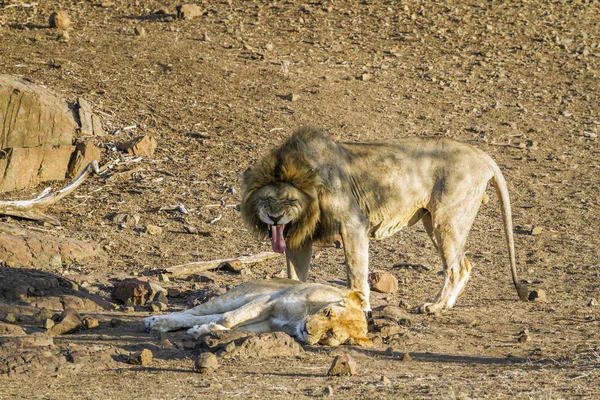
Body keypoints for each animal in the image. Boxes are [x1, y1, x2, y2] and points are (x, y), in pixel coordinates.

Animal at [144, 278, 370, 346]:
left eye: (330, 334)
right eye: (328, 313)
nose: (308, 329)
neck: (296, 321)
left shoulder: (266, 325)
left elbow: (229, 326)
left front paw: (203, 331)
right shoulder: (270, 300)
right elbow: (228, 319)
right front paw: (205, 330)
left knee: (205, 316)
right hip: (236, 297)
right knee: (195, 312)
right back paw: (156, 321)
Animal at [241, 126, 528, 314]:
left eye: (290, 201)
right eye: (266, 199)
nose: (274, 217)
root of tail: (482, 155)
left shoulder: (354, 223)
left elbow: (355, 272)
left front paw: (361, 309)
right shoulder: (299, 238)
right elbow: (295, 276)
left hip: (447, 220)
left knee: (456, 267)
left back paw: (435, 306)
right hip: (433, 222)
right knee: (464, 264)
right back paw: (445, 304)